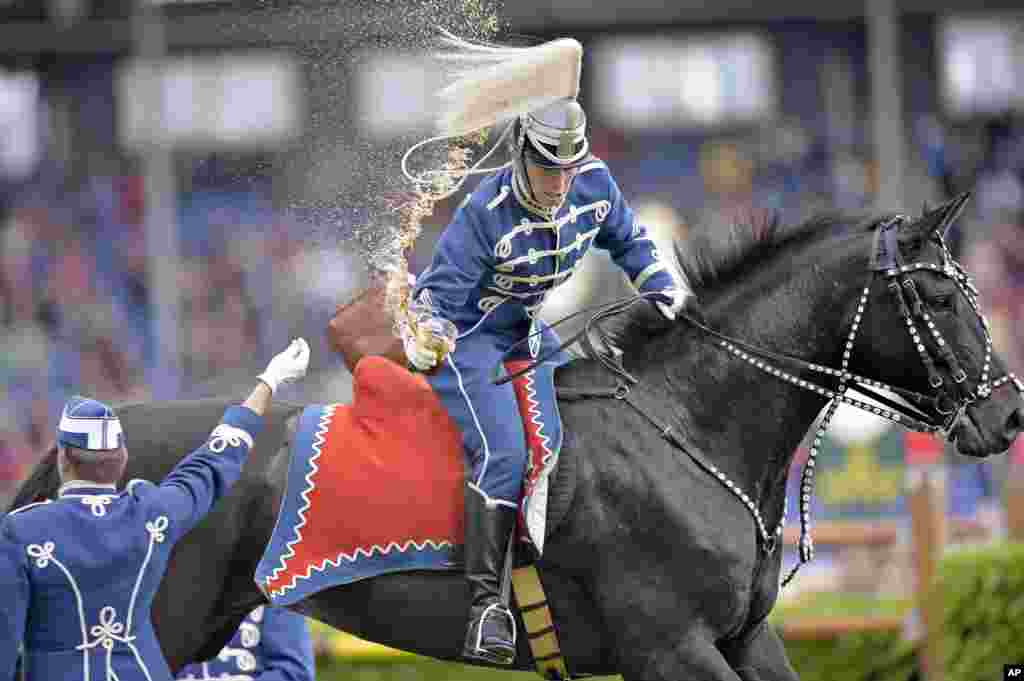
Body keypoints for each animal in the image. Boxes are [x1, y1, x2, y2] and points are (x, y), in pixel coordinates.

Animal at [9, 193, 1024, 675]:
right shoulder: (670, 648)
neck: (688, 426)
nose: (1007, 411)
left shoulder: (745, 639)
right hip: (152, 626)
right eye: (939, 295)